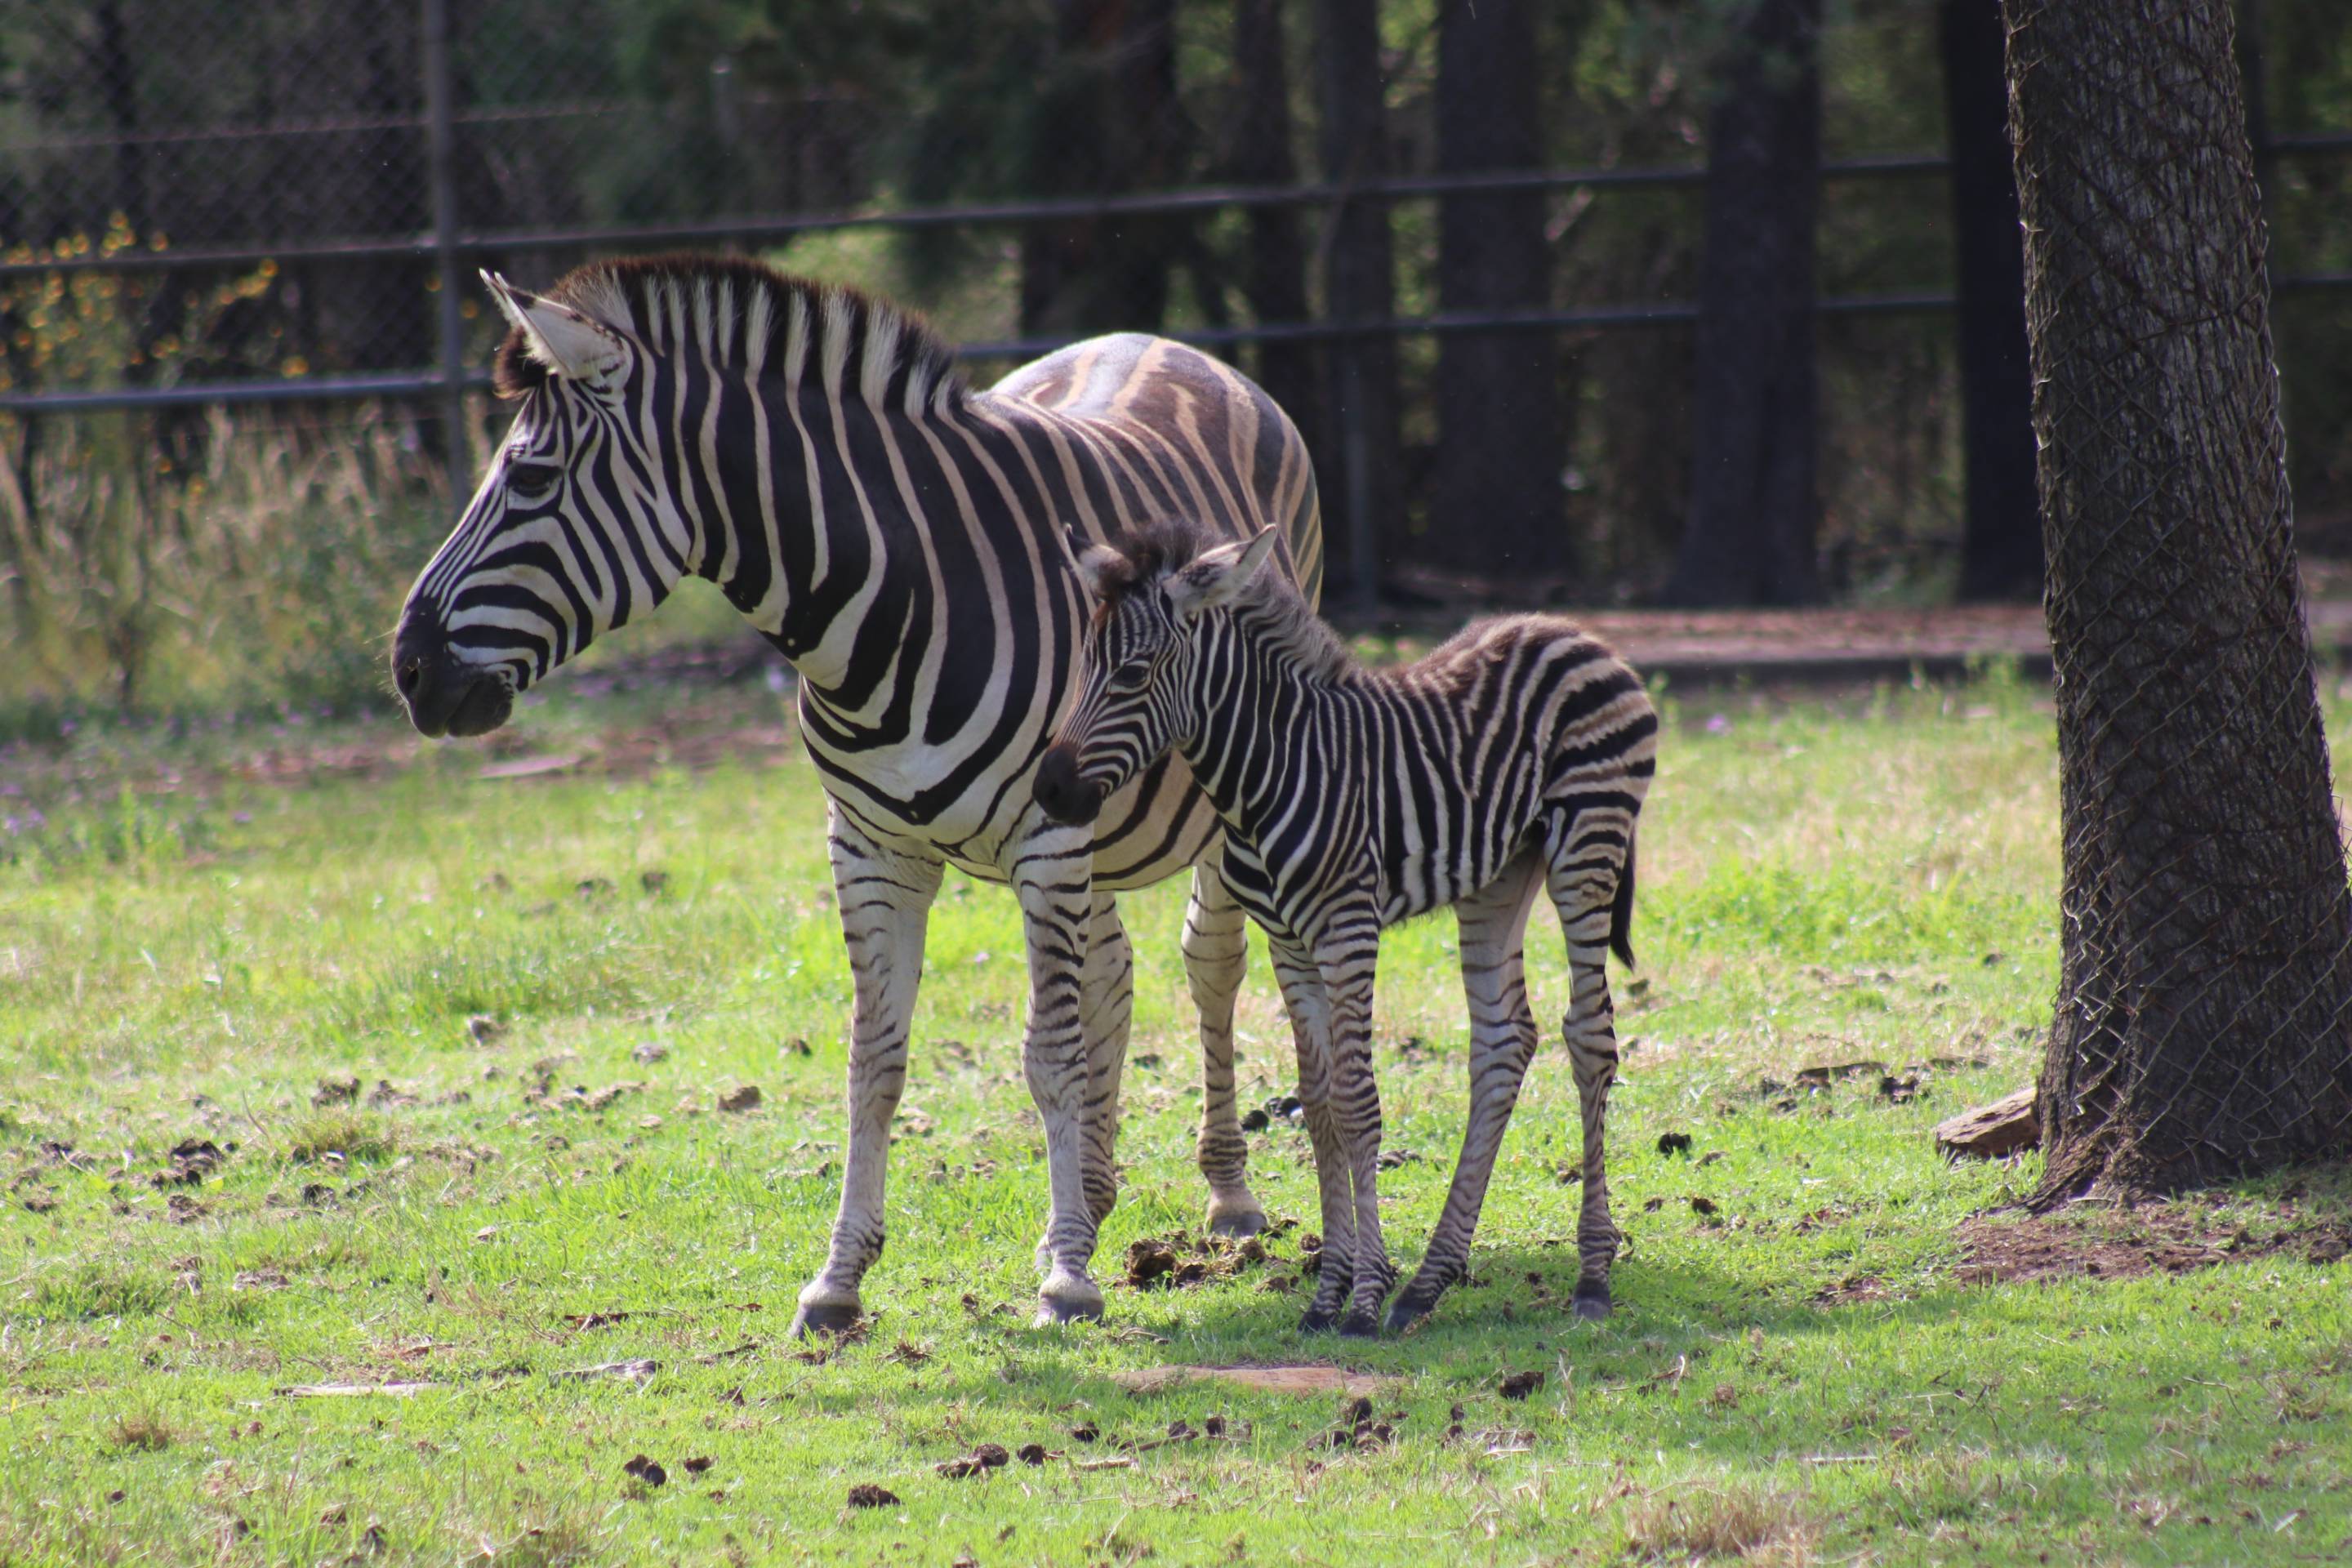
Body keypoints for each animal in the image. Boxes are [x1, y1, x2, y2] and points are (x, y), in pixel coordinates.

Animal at [389, 255, 1322, 1332]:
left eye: (531, 479)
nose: (408, 669)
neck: (893, 600)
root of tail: (1163, 342)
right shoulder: (871, 845)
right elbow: (873, 1061)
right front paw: (840, 1281)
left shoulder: (1047, 836)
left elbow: (1048, 1053)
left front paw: (1068, 1279)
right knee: (1114, 976)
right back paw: (1086, 1199)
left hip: (1217, 787)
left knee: (1208, 962)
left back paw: (1226, 1195)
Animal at [1033, 519, 1656, 1335]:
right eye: (1082, 666)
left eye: (1134, 674)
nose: (1049, 790)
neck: (1268, 769)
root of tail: (1574, 631)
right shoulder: (1289, 945)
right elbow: (1321, 1105)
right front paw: (1329, 1293)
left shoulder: (1348, 929)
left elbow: (1359, 1104)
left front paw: (1362, 1298)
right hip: (1500, 875)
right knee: (1503, 1041)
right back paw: (1429, 1282)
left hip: (1588, 846)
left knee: (1588, 1038)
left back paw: (1591, 1277)